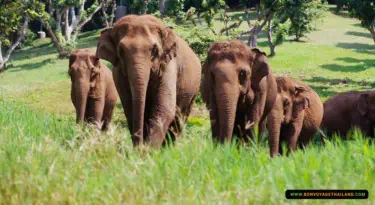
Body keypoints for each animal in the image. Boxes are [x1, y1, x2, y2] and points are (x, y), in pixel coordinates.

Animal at [97, 15, 203, 147]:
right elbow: (129, 107)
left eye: (155, 49)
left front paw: (149, 149)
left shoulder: (169, 66)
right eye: (121, 50)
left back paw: (171, 147)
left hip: (193, 91)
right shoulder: (118, 73)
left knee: (180, 116)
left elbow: (164, 107)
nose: (140, 146)